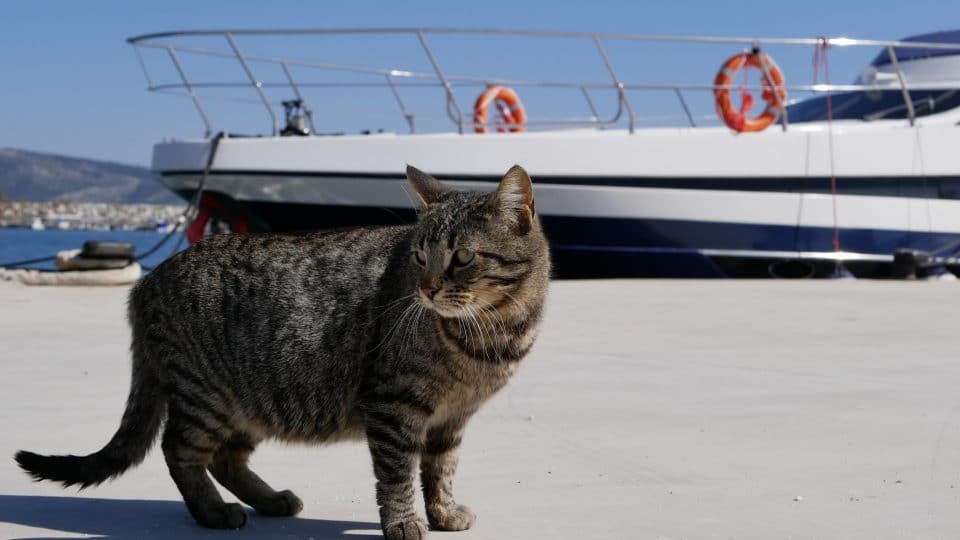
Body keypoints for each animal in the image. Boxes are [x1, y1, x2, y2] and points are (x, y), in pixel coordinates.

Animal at [15, 165, 552, 540]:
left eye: (462, 257)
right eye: (419, 257)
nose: (426, 288)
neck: (492, 333)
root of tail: (145, 281)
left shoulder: (451, 418)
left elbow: (440, 470)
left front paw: (442, 512)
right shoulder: (393, 406)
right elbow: (398, 473)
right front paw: (404, 521)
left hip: (250, 403)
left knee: (225, 459)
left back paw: (270, 500)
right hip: (207, 397)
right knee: (179, 451)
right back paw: (213, 511)